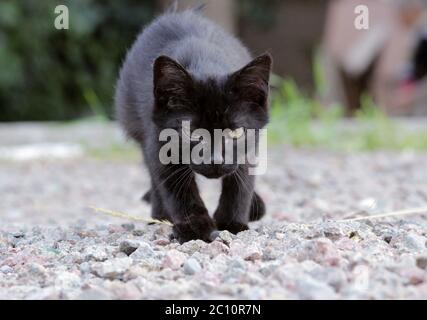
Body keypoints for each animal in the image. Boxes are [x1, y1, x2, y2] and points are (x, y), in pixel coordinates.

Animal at [115, 8, 272, 242]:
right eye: (191, 131)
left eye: (236, 133)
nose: (215, 160)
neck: (205, 62)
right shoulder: (158, 141)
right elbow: (176, 187)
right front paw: (196, 229)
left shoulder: (251, 145)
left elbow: (241, 182)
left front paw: (232, 223)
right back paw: (160, 214)